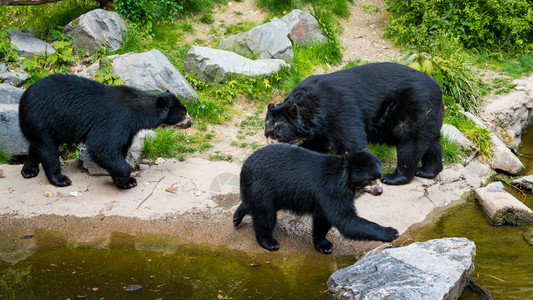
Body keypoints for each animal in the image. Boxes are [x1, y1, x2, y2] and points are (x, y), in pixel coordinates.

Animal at [19, 73, 193, 189]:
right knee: (48, 149)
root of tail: (24, 95)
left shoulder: (128, 129)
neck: (138, 111)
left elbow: (119, 150)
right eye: (183, 113)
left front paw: (125, 182)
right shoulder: (115, 121)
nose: (191, 122)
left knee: (37, 145)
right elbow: (103, 148)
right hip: (40, 117)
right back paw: (60, 179)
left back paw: (29, 170)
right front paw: (125, 179)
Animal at [234, 143, 400, 253]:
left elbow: (323, 220)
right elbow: (344, 219)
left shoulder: (324, 197)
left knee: (253, 206)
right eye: (369, 179)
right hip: (261, 186)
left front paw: (324, 245)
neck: (347, 181)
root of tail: (245, 165)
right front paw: (391, 232)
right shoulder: (331, 191)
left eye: (380, 176)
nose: (380, 191)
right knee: (265, 215)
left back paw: (237, 216)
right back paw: (269, 242)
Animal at [264, 62, 444, 185]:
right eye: (266, 133)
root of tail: (439, 89)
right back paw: (427, 171)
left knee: (410, 144)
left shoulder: (340, 111)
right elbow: (315, 146)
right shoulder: (320, 130)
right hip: (430, 115)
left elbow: (352, 143)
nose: (269, 147)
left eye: (277, 133)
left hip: (415, 109)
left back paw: (394, 177)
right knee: (432, 143)